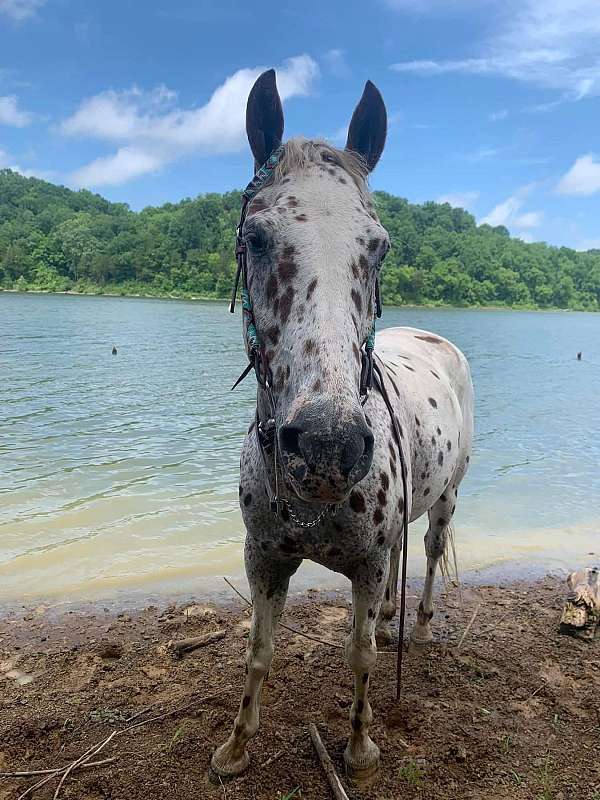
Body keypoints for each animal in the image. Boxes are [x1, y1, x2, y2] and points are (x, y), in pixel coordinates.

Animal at [211, 69, 474, 780]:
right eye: (255, 238)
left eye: (377, 247)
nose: (327, 445)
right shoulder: (264, 559)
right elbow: (258, 653)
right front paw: (235, 747)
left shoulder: (362, 563)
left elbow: (361, 658)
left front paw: (359, 747)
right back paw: (388, 616)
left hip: (447, 498)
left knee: (430, 553)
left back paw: (423, 623)